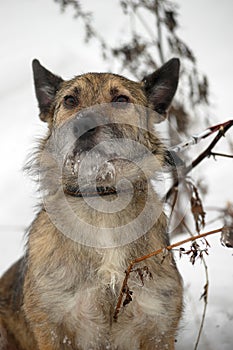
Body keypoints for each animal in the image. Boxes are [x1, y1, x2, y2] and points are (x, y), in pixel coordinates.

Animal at [0, 56, 182, 348]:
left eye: (121, 99)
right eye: (70, 100)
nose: (83, 124)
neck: (102, 202)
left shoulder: (158, 326)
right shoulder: (54, 326)